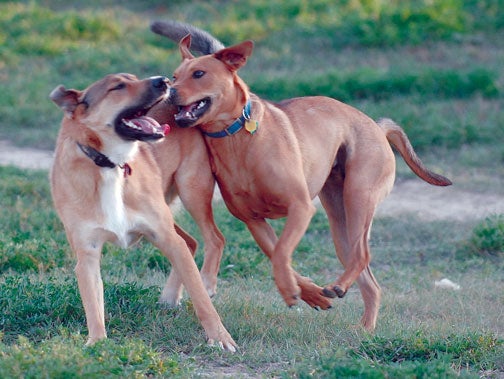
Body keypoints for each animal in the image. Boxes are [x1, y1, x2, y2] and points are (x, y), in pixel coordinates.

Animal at [49, 72, 236, 352]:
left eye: (134, 78)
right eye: (118, 86)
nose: (163, 81)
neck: (111, 165)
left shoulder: (166, 237)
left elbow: (202, 301)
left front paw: (220, 337)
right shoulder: (87, 255)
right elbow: (93, 305)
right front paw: (97, 342)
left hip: (191, 192)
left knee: (213, 239)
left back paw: (206, 282)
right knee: (191, 241)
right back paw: (169, 298)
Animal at [164, 31, 452, 332]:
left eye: (199, 73)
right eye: (175, 76)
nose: (169, 91)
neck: (236, 137)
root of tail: (377, 126)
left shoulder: (300, 207)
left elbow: (281, 253)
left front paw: (291, 290)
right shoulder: (254, 221)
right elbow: (279, 256)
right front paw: (307, 293)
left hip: (358, 198)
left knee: (363, 254)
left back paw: (341, 289)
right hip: (340, 224)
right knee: (370, 281)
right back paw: (363, 327)